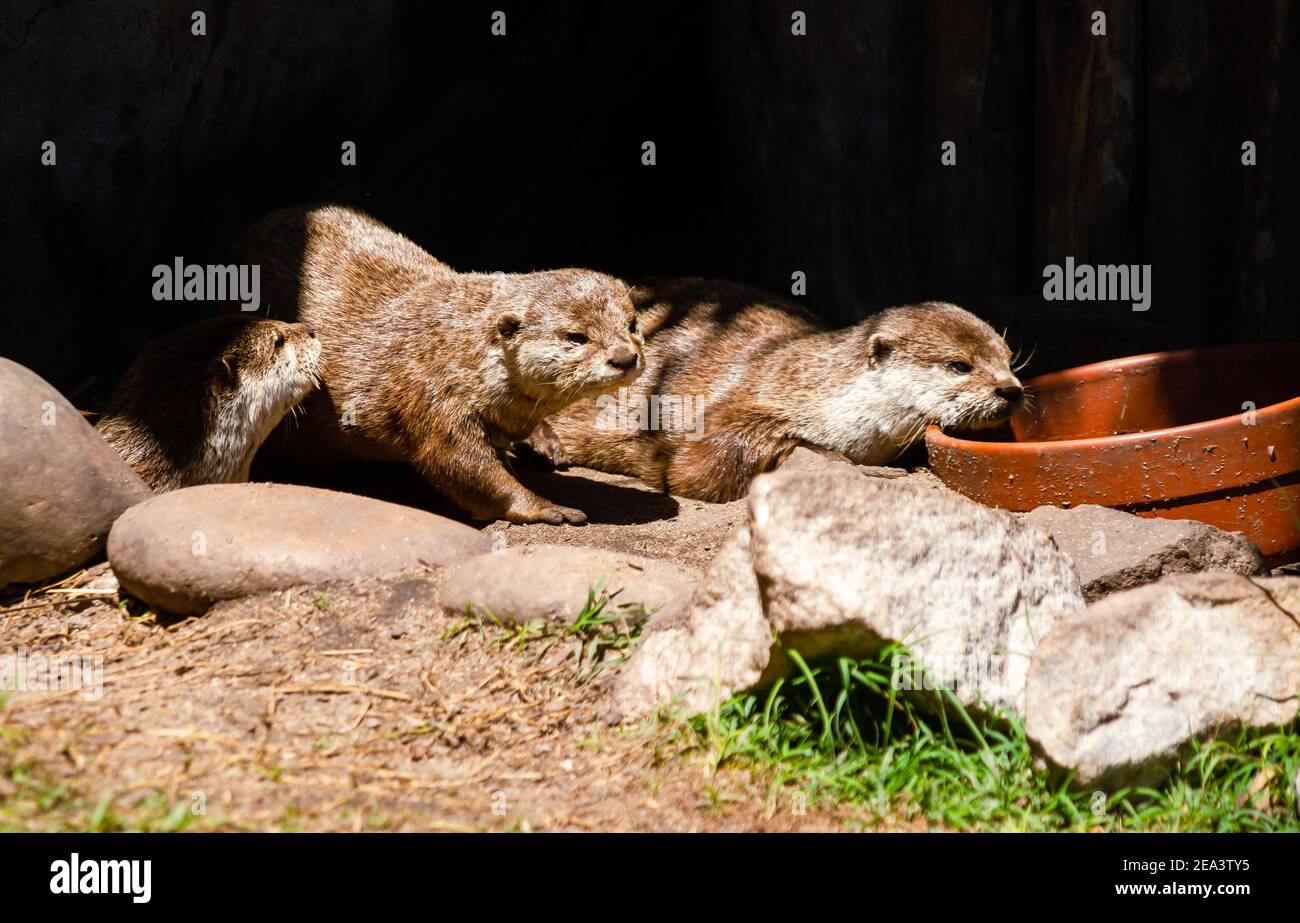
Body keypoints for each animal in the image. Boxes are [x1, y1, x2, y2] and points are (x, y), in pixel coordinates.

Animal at [235, 206, 644, 525]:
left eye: (632, 324)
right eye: (577, 336)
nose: (625, 357)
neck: (457, 348)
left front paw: (542, 441)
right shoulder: (434, 396)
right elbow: (461, 466)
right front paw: (548, 507)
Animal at [538, 278, 1024, 501]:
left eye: (1007, 355)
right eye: (959, 365)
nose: (1011, 390)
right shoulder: (742, 398)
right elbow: (703, 465)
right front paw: (861, 469)